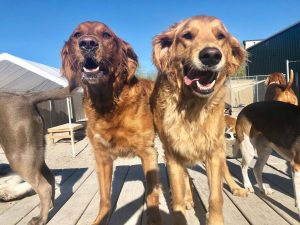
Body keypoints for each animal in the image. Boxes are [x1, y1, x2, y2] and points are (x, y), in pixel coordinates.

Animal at [0, 86, 69, 225]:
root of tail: (27, 98)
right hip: (37, 154)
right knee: (50, 178)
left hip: (19, 156)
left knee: (44, 187)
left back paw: (40, 219)